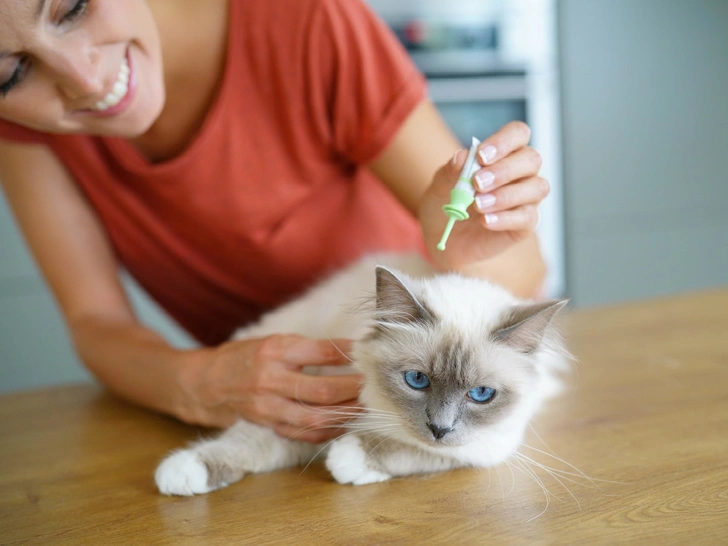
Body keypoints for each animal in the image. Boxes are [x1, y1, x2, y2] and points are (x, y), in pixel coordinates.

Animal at [156, 253, 572, 496]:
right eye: (417, 380)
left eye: (481, 394)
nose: (440, 428)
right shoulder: (303, 412)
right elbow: (244, 444)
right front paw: (182, 472)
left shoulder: (484, 446)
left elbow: (409, 450)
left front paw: (348, 459)